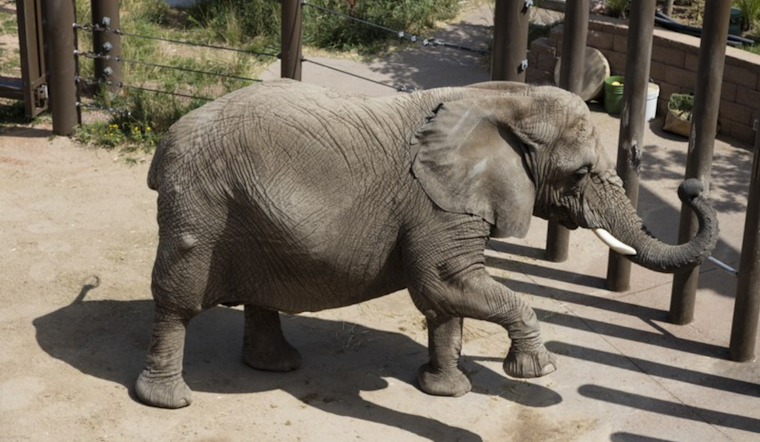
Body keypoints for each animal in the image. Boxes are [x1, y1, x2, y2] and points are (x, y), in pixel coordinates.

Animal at [136, 79, 718, 408]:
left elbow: (445, 296)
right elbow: (441, 281)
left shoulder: (450, 202)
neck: (505, 101)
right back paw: (168, 401)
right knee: (176, 301)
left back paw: (277, 366)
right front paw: (536, 369)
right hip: (200, 206)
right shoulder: (436, 202)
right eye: (580, 174)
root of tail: (165, 141)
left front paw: (445, 392)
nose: (690, 188)